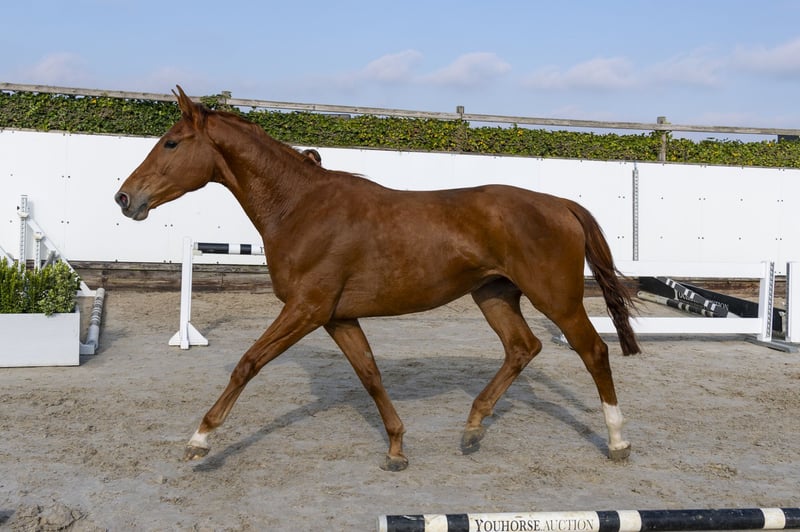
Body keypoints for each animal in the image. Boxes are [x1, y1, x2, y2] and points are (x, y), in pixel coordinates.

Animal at [115, 86, 640, 471]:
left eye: (171, 142)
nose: (125, 198)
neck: (300, 208)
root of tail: (561, 204)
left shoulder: (305, 309)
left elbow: (247, 364)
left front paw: (199, 440)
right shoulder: (337, 317)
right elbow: (369, 374)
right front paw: (396, 450)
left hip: (558, 299)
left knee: (594, 351)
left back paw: (617, 441)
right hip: (493, 295)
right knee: (522, 348)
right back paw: (472, 428)